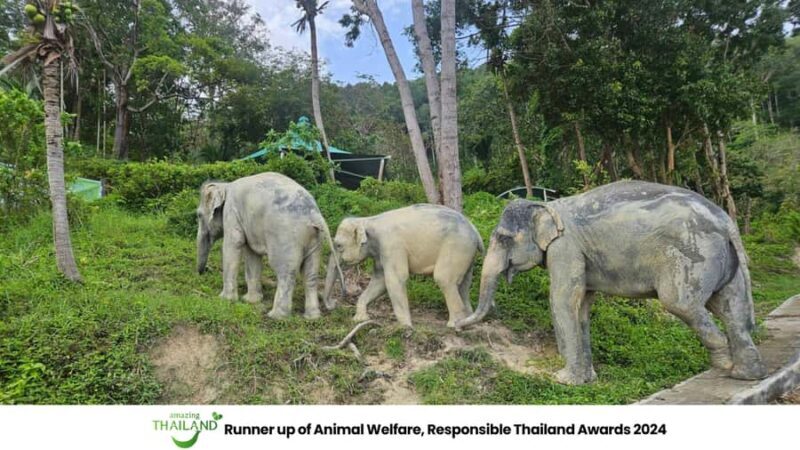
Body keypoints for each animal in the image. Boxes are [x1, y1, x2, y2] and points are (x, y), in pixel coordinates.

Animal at [196, 172, 343, 319]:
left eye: (199, 215)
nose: (202, 272)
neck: (225, 185)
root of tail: (315, 216)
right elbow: (252, 254)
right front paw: (250, 301)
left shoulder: (232, 212)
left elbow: (233, 244)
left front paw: (225, 299)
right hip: (315, 240)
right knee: (310, 274)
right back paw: (312, 317)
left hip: (286, 238)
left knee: (286, 272)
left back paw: (276, 316)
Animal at [325, 204, 484, 327]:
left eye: (338, 245)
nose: (335, 302)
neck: (368, 219)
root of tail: (475, 230)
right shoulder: (381, 252)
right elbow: (379, 281)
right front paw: (360, 319)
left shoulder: (391, 245)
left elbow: (395, 279)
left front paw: (405, 326)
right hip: (467, 254)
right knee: (463, 284)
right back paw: (467, 321)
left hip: (457, 248)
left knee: (444, 279)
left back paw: (453, 325)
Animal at [456, 180, 767, 385]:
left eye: (503, 238)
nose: (457, 325)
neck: (546, 205)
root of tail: (725, 221)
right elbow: (581, 306)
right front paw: (587, 379)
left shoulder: (565, 248)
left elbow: (562, 301)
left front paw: (565, 381)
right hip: (725, 262)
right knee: (731, 309)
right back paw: (747, 376)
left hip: (693, 255)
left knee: (681, 304)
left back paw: (722, 367)